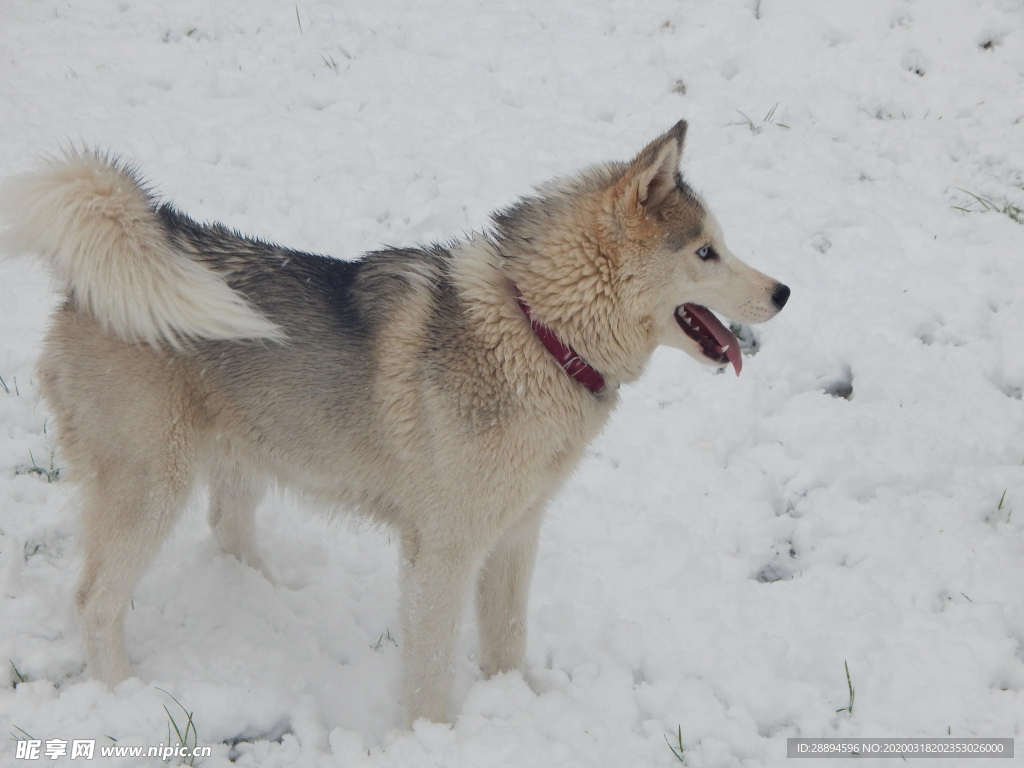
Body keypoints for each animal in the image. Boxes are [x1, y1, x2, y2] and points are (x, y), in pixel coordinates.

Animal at [0, 123, 786, 724]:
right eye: (705, 252)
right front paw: (436, 737)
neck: (537, 330)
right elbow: (431, 668)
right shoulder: (441, 550)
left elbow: (507, 639)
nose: (783, 291)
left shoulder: (515, 536)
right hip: (149, 486)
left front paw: (519, 706)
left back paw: (273, 598)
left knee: (227, 533)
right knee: (96, 600)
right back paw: (124, 695)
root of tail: (89, 285)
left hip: (242, 455)